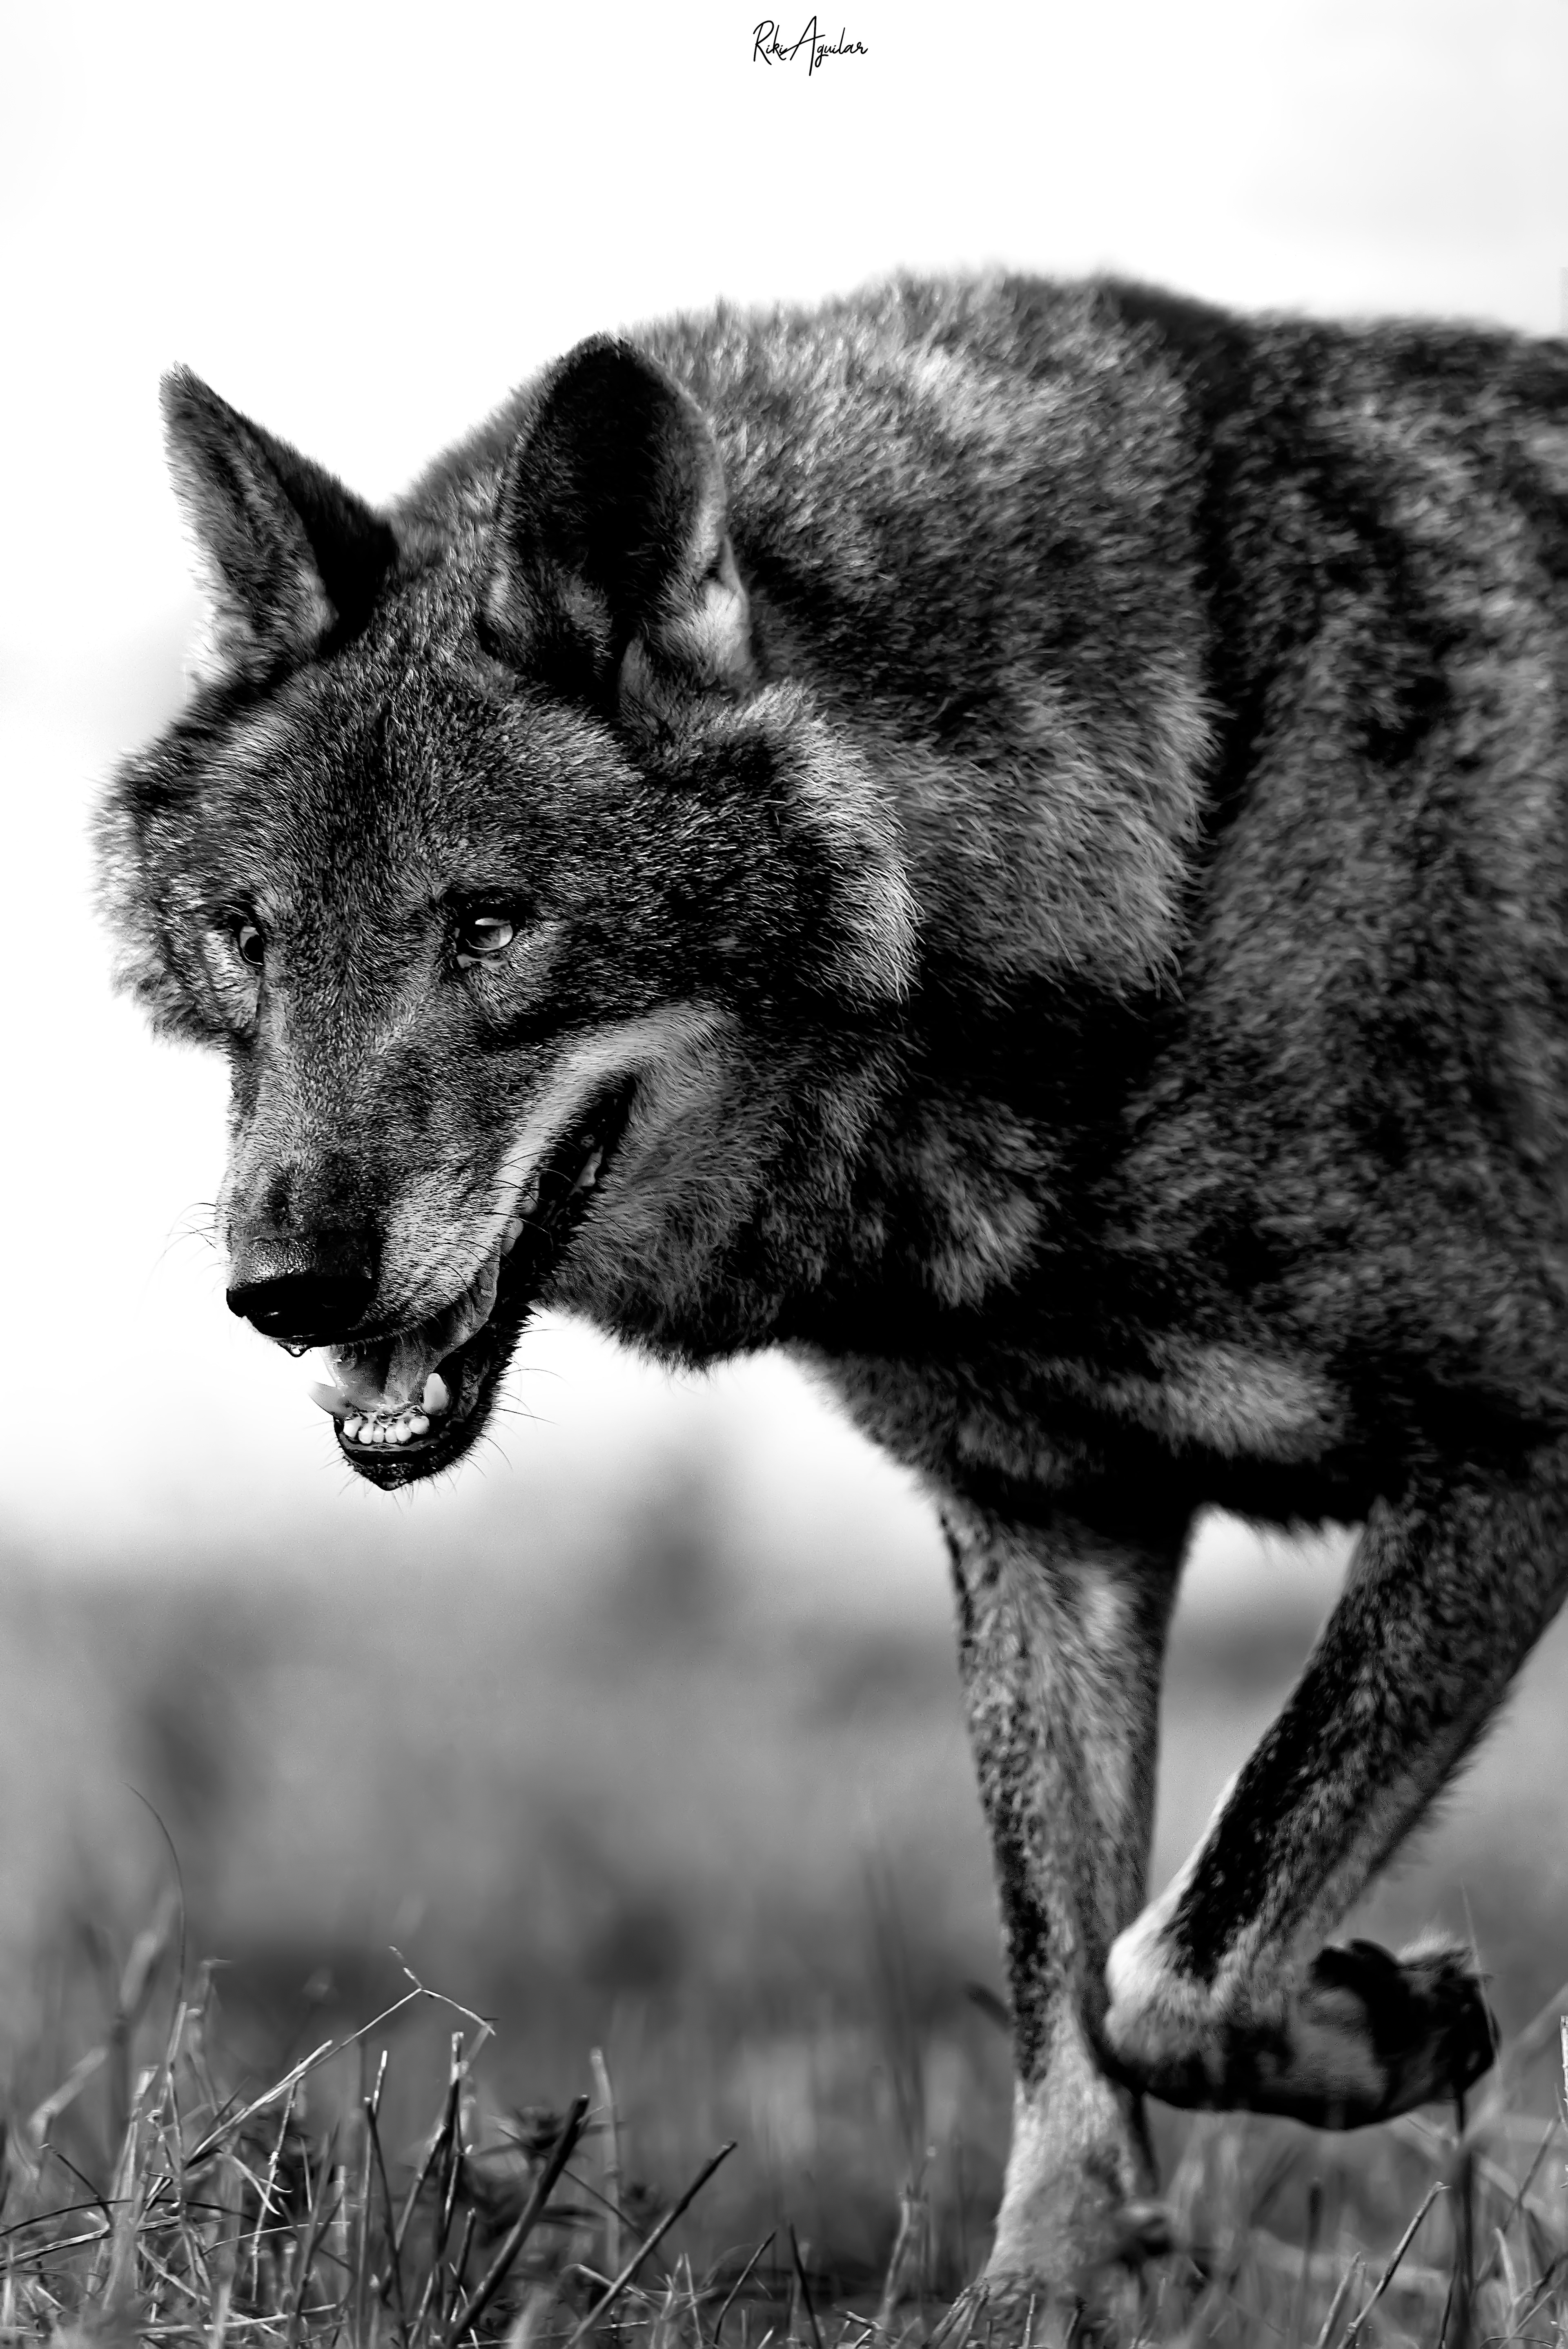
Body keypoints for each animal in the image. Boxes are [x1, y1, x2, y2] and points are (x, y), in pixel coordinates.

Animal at [98, 274, 1568, 2323]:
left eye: (489, 928)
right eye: (250, 937)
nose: (285, 1290)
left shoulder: (1512, 1449)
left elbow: (1175, 1964)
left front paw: (1392, 2024)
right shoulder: (1050, 1517)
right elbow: (1075, 1999)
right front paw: (1048, 2293)